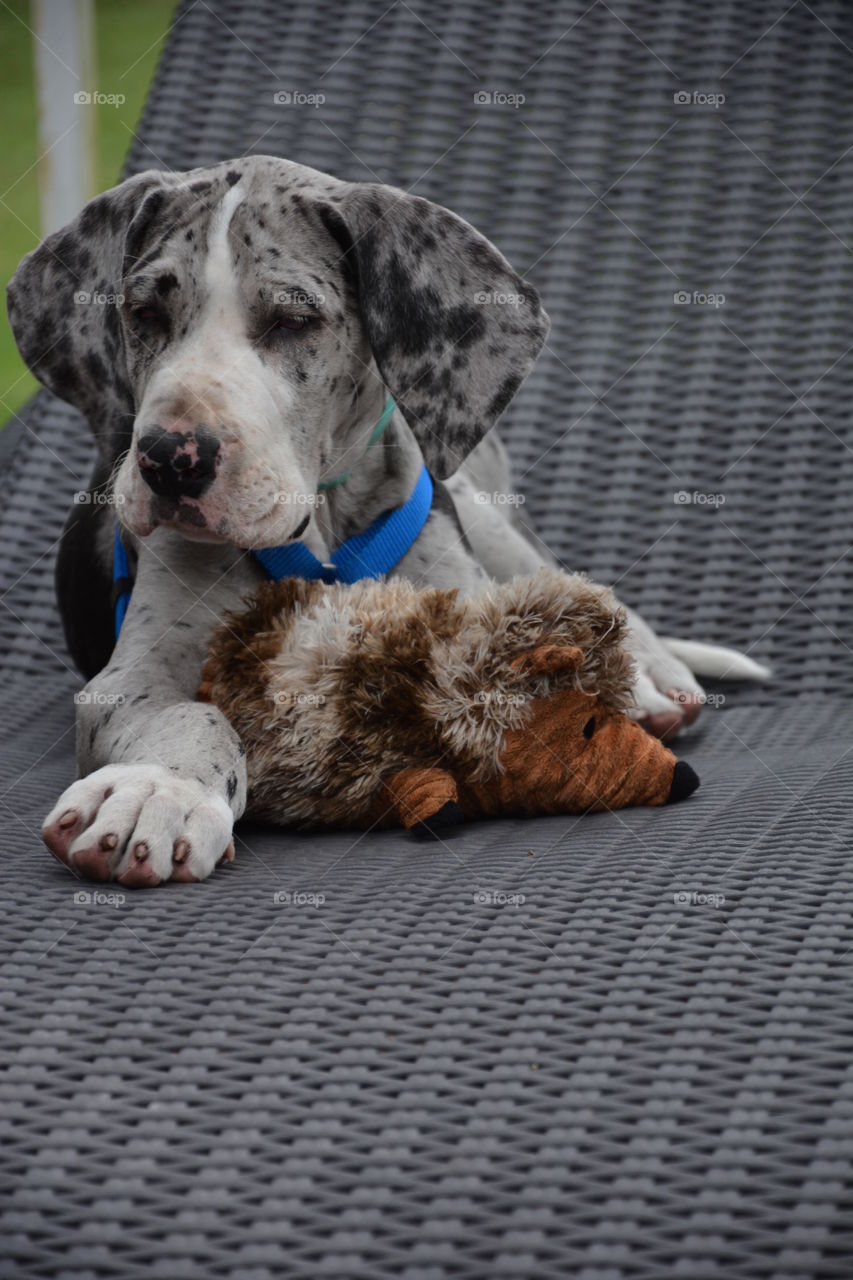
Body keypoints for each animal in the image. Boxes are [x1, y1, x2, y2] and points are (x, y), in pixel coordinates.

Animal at [8, 154, 737, 885]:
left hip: (483, 512)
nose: (168, 459)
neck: (320, 535)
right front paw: (158, 789)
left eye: (292, 321)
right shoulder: (129, 677)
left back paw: (653, 681)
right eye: (143, 313)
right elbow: (191, 715)